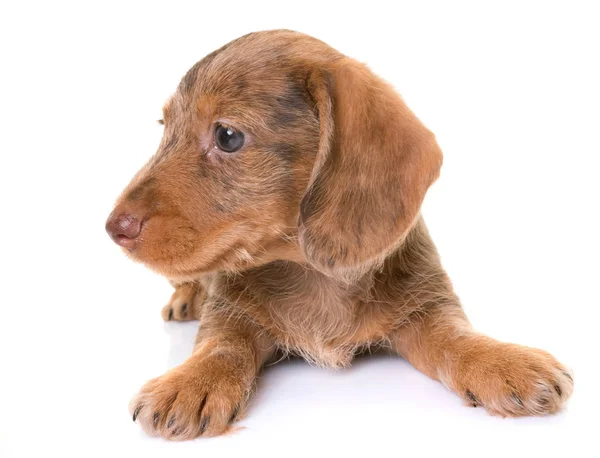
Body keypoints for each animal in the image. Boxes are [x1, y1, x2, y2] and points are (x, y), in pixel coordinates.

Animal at [106, 29, 572, 440]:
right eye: (165, 126)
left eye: (227, 136)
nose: (113, 228)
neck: (314, 273)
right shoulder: (229, 314)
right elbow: (222, 346)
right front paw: (192, 381)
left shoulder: (427, 307)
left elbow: (455, 338)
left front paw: (502, 361)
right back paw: (185, 300)